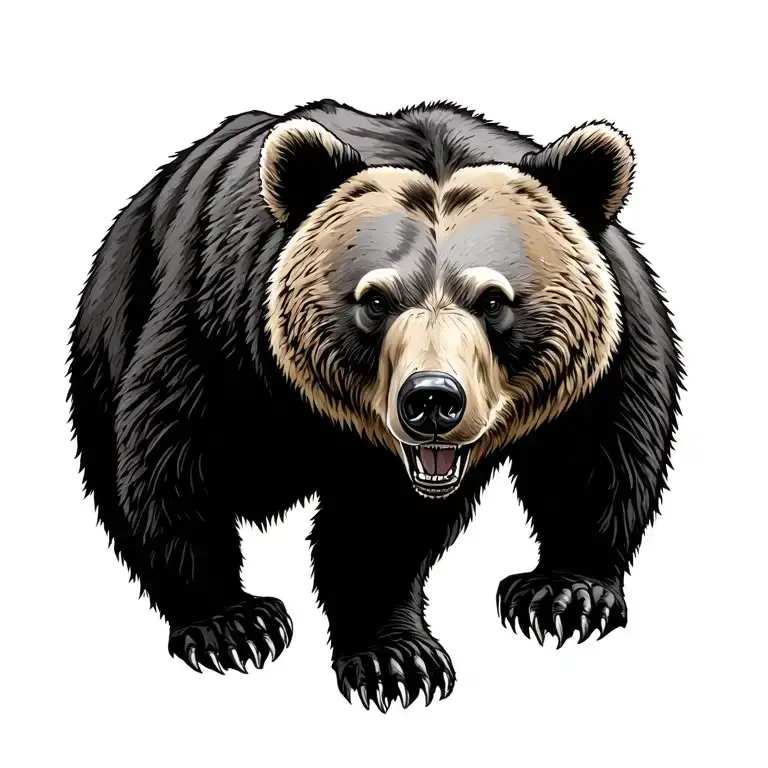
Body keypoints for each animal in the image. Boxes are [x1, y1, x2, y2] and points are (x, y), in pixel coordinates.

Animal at [68, 99, 683, 711]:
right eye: (376, 300)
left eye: (493, 300)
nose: (432, 400)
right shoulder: (220, 327)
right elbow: (177, 454)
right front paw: (233, 623)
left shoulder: (608, 350)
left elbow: (585, 454)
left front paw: (555, 600)